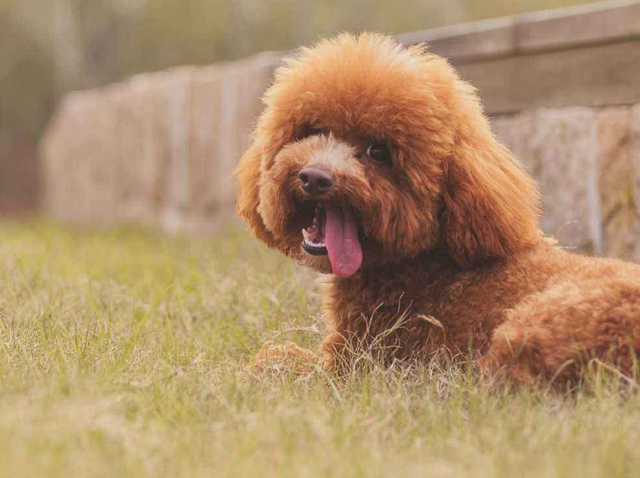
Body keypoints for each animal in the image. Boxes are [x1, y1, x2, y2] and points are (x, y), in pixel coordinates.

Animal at [238, 32, 640, 384]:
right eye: (312, 130)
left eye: (378, 151)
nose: (314, 178)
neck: (424, 264)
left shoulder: (356, 365)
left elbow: (275, 361)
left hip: (525, 333)